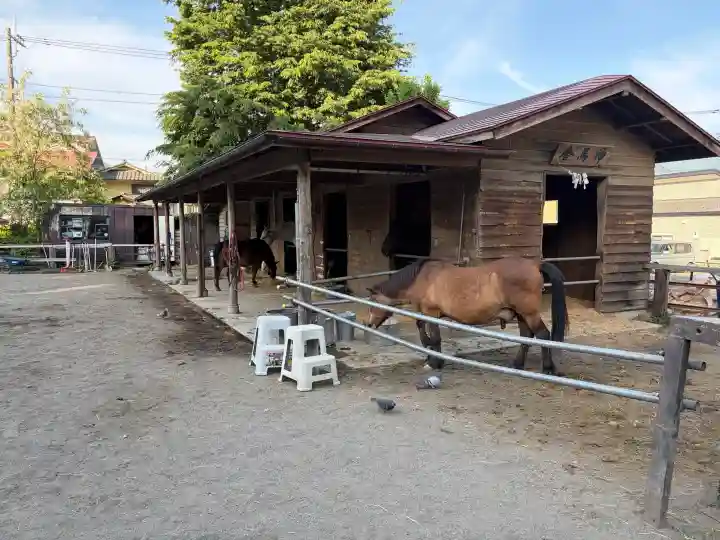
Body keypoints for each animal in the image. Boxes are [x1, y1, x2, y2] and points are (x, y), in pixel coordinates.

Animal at [364, 257, 569, 374]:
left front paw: (435, 362)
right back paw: (517, 365)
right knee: (526, 337)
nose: (367, 324)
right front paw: (430, 358)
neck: (424, 278)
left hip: (529, 313)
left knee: (543, 335)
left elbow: (434, 338)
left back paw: (548, 369)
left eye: (372, 301)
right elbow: (424, 332)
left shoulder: (432, 313)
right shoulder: (427, 314)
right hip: (520, 314)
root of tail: (535, 264)